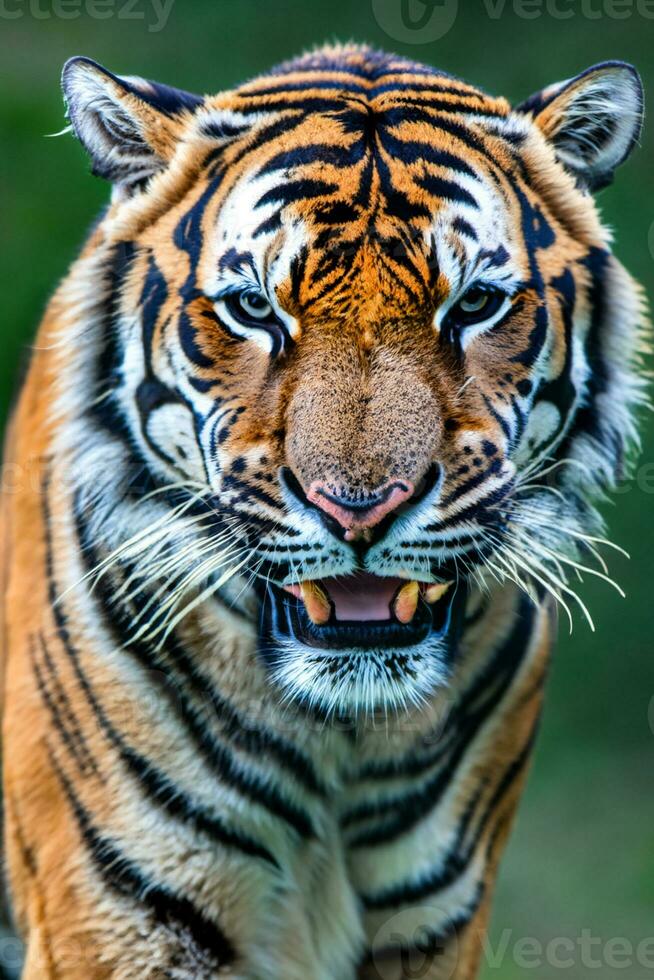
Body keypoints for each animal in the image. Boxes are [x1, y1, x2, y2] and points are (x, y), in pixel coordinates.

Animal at [0, 44, 648, 980]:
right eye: (253, 309)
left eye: (475, 305)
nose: (361, 509)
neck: (339, 735)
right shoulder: (117, 918)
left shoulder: (437, 924)